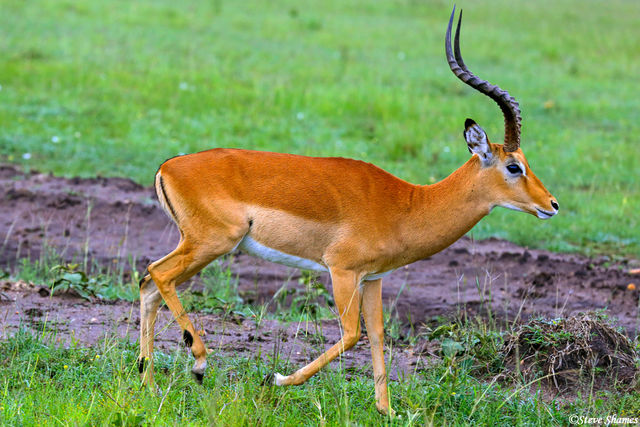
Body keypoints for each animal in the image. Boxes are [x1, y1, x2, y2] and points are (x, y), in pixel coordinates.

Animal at [137, 7, 558, 416]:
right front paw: (279, 380)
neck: (408, 204)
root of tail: (168, 166)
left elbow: (377, 335)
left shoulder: (373, 278)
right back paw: (198, 364)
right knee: (159, 274)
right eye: (514, 167)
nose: (552, 205)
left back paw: (149, 384)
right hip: (213, 243)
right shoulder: (342, 271)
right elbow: (352, 333)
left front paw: (386, 411)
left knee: (148, 284)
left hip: (199, 245)